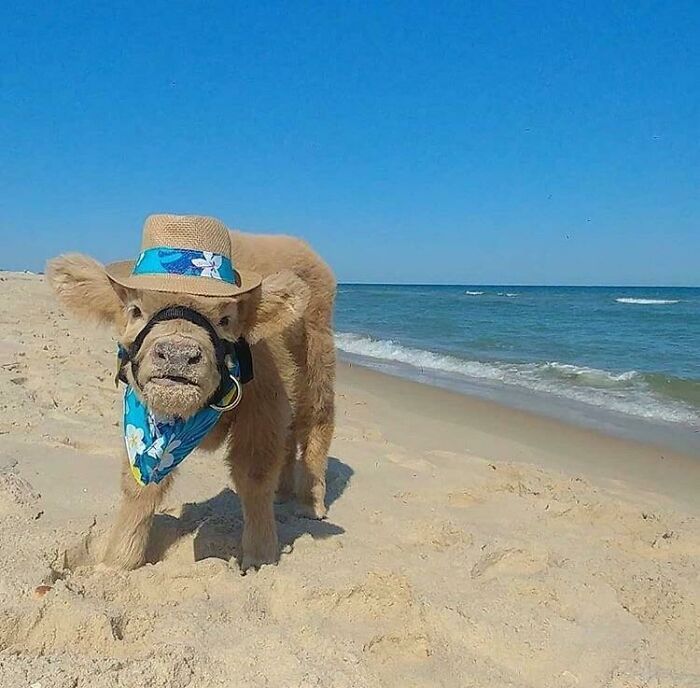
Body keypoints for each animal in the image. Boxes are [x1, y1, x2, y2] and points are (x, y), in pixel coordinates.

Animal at [47, 214, 334, 568]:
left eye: (225, 319)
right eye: (135, 311)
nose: (177, 354)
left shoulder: (264, 406)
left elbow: (254, 476)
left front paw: (261, 555)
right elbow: (139, 486)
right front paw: (118, 558)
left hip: (318, 363)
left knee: (316, 426)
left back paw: (309, 503)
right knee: (290, 436)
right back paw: (284, 494)